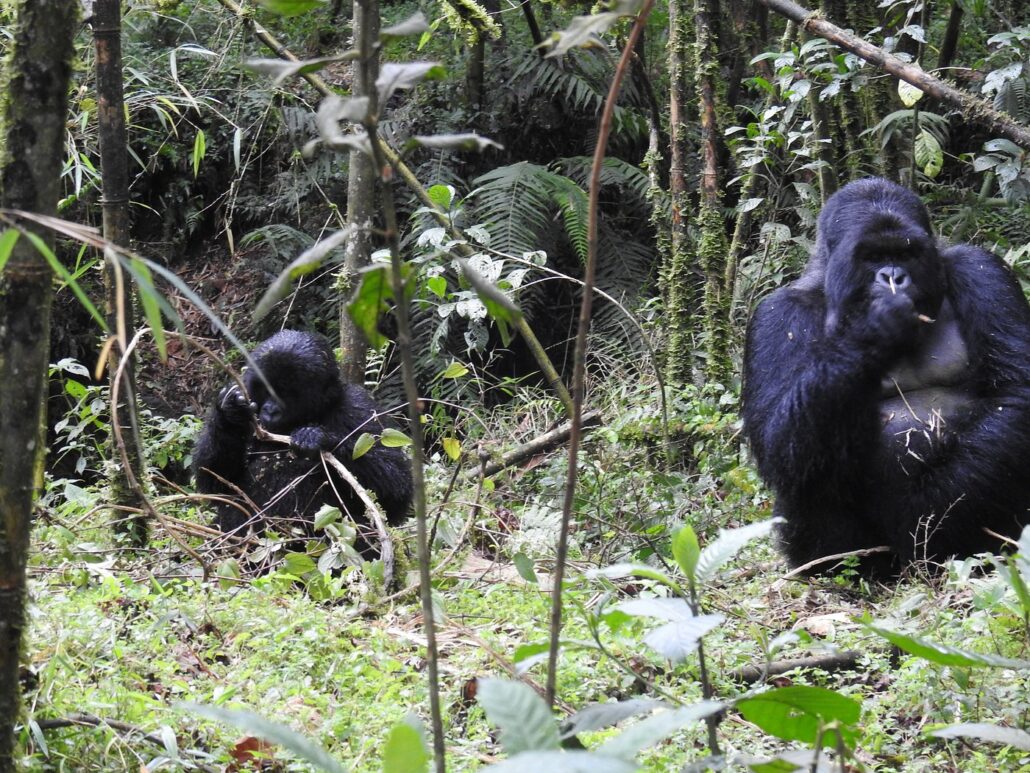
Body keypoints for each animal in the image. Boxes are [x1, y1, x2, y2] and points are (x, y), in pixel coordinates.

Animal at [194, 329, 412, 540]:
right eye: (265, 389)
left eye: (287, 393)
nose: (270, 411)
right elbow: (217, 482)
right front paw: (230, 411)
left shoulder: (359, 406)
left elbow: (396, 489)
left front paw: (319, 438)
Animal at [745, 177, 1030, 577]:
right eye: (872, 257)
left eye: (906, 254)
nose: (893, 276)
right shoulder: (776, 313)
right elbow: (777, 442)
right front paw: (873, 331)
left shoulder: (981, 269)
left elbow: (1014, 393)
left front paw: (927, 517)